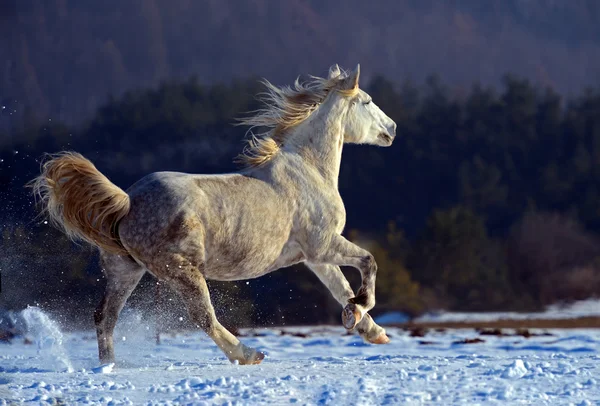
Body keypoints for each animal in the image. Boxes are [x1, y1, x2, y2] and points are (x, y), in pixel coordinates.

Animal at [31, 63, 398, 364]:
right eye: (366, 101)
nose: (392, 128)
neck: (309, 170)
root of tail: (127, 202)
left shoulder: (315, 257)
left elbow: (340, 288)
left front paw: (368, 328)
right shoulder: (323, 245)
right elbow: (368, 262)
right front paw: (360, 309)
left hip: (126, 271)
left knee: (104, 316)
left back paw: (109, 367)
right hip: (183, 271)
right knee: (203, 317)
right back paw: (248, 354)